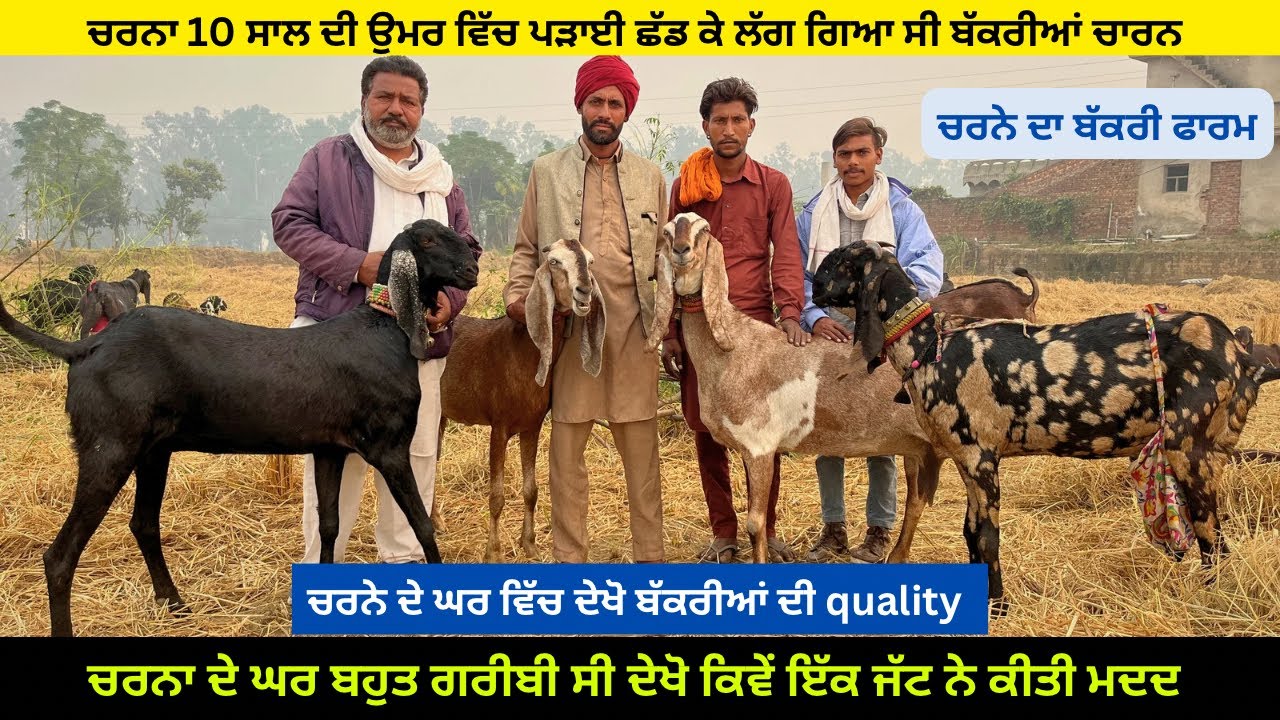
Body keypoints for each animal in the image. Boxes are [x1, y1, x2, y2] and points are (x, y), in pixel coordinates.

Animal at [0, 218, 479, 636]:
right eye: (429, 239)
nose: (474, 263)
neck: (383, 327)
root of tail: (87, 346)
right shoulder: (389, 448)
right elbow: (421, 524)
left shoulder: (329, 448)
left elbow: (329, 525)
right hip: (109, 447)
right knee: (60, 555)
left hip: (153, 451)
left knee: (143, 524)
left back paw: (176, 604)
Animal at [434, 239, 607, 561]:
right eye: (554, 262)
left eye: (590, 262)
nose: (584, 291)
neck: (522, 350)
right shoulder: (499, 426)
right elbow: (497, 495)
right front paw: (493, 552)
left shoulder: (532, 426)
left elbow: (531, 490)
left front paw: (530, 545)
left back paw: (436, 523)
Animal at [811, 240, 1280, 614]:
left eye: (838, 260)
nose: (812, 286)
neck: (931, 345)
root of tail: (1241, 356)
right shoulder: (964, 458)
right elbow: (969, 533)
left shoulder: (980, 456)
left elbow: (986, 537)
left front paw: (998, 608)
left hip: (1189, 448)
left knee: (1212, 535)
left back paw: (1211, 600)